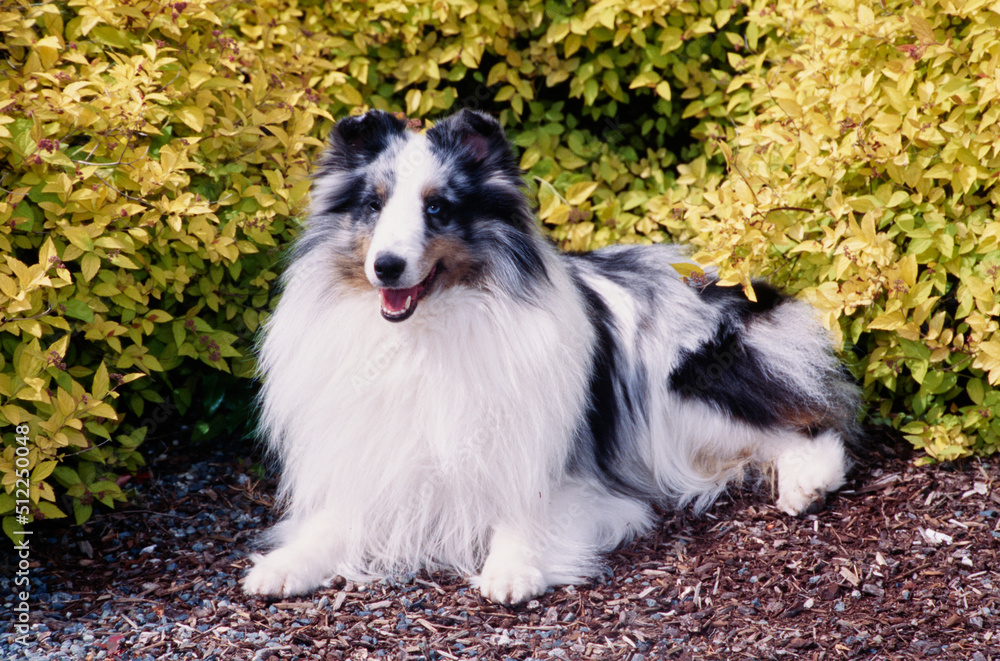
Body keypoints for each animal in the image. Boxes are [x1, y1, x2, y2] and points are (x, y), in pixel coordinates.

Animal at [242, 109, 860, 604]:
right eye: (372, 206)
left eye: (437, 209)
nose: (386, 267)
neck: (427, 331)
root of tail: (735, 288)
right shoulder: (372, 465)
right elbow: (330, 525)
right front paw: (281, 567)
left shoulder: (545, 459)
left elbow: (523, 510)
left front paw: (512, 569)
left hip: (685, 398)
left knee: (808, 429)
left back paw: (805, 485)